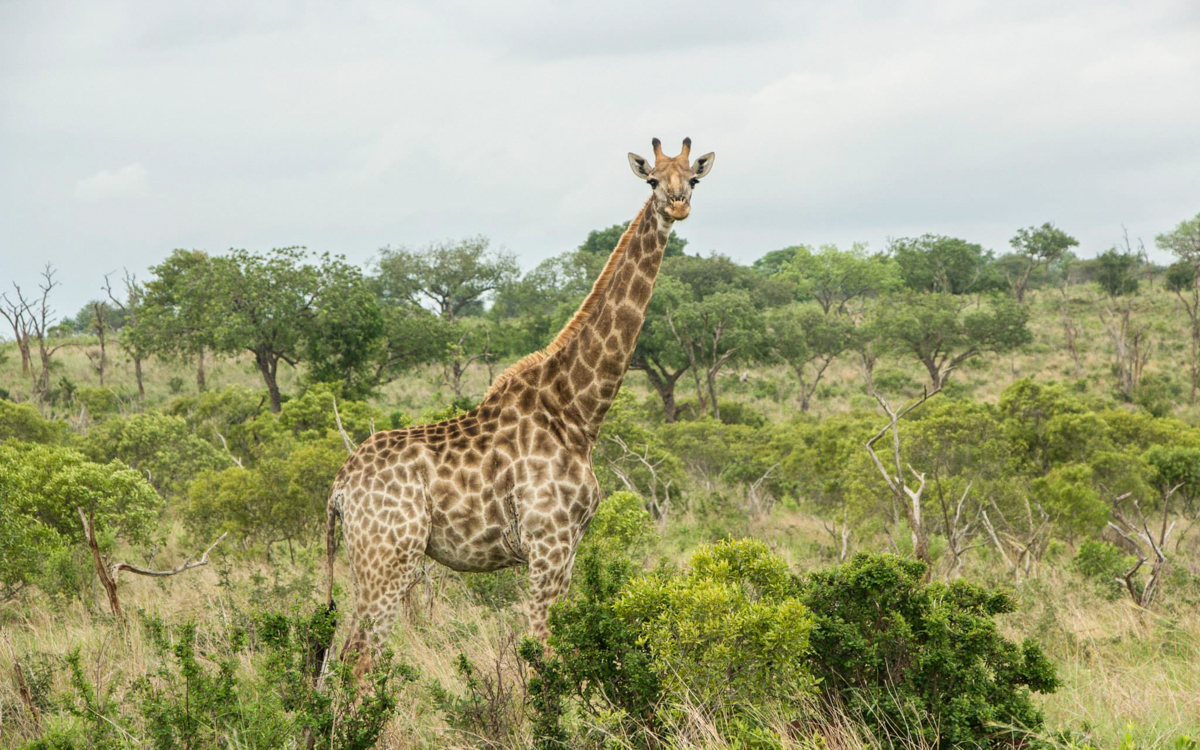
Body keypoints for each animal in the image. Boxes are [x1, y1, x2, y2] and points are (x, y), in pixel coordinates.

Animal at [324, 138, 716, 676]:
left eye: (693, 179)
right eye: (653, 180)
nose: (677, 205)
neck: (576, 411)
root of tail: (339, 489)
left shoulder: (568, 548)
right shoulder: (547, 543)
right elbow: (542, 654)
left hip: (372, 562)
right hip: (389, 558)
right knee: (360, 657)